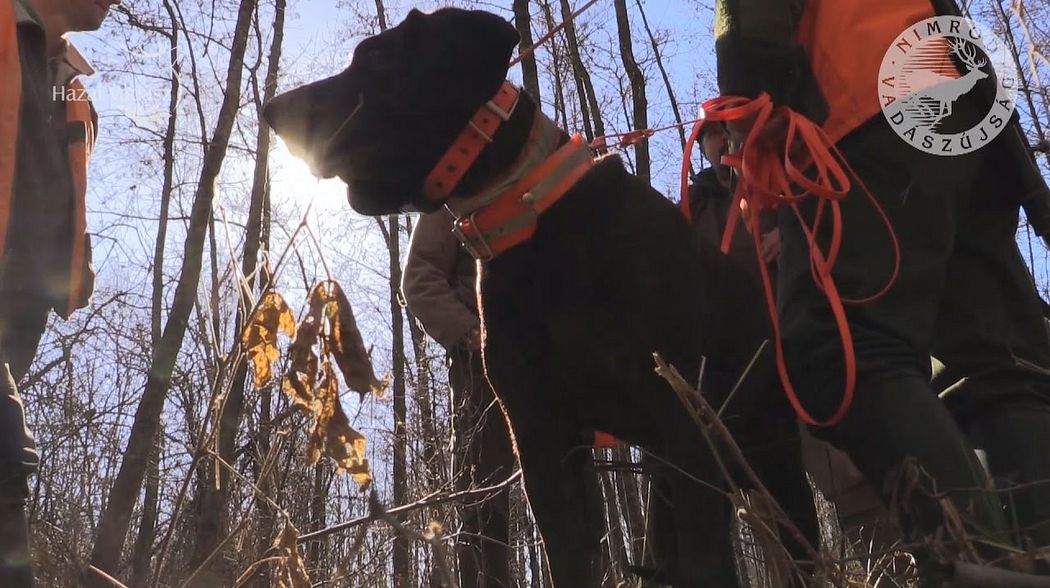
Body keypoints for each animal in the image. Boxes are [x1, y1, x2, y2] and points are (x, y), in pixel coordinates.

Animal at [264, 6, 818, 583]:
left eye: (374, 57)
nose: (270, 110)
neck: (523, 208)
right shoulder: (540, 434)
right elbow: (569, 554)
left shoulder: (683, 414)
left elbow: (707, 558)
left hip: (769, 460)